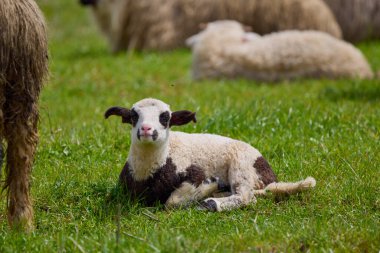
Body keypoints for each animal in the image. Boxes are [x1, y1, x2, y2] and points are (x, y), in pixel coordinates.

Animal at [105, 98, 316, 211]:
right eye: (134, 116)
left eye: (165, 118)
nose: (146, 129)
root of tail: (270, 177)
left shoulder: (194, 173)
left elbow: (171, 202)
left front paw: (208, 187)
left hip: (242, 165)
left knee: (246, 197)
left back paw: (212, 202)